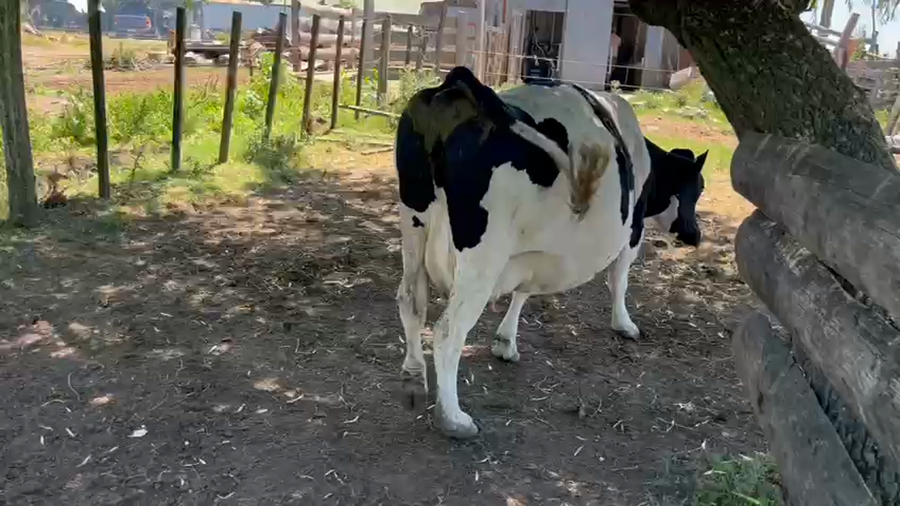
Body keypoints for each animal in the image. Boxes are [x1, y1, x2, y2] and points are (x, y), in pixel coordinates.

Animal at [394, 67, 707, 438]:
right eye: (698, 188)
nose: (696, 235)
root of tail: (456, 86)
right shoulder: (632, 232)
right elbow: (619, 280)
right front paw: (624, 324)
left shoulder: (530, 251)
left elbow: (523, 290)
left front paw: (506, 342)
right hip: (482, 256)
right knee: (446, 331)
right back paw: (453, 418)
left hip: (413, 227)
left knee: (411, 302)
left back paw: (413, 377)